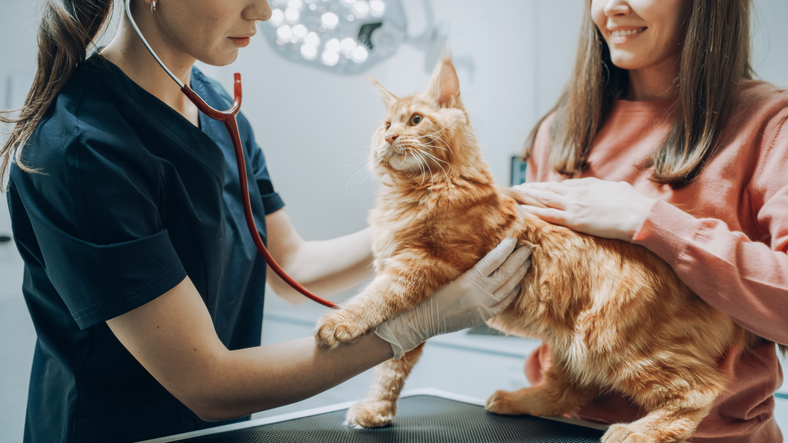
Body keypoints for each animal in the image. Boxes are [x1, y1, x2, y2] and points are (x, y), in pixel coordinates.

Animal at [314, 59, 756, 443]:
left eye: (416, 120)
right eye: (386, 125)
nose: (389, 137)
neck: (417, 193)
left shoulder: (421, 265)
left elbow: (374, 301)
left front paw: (340, 322)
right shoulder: (412, 299)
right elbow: (392, 364)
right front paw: (376, 410)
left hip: (613, 340)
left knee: (700, 390)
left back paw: (636, 432)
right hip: (573, 343)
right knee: (571, 389)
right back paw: (516, 400)